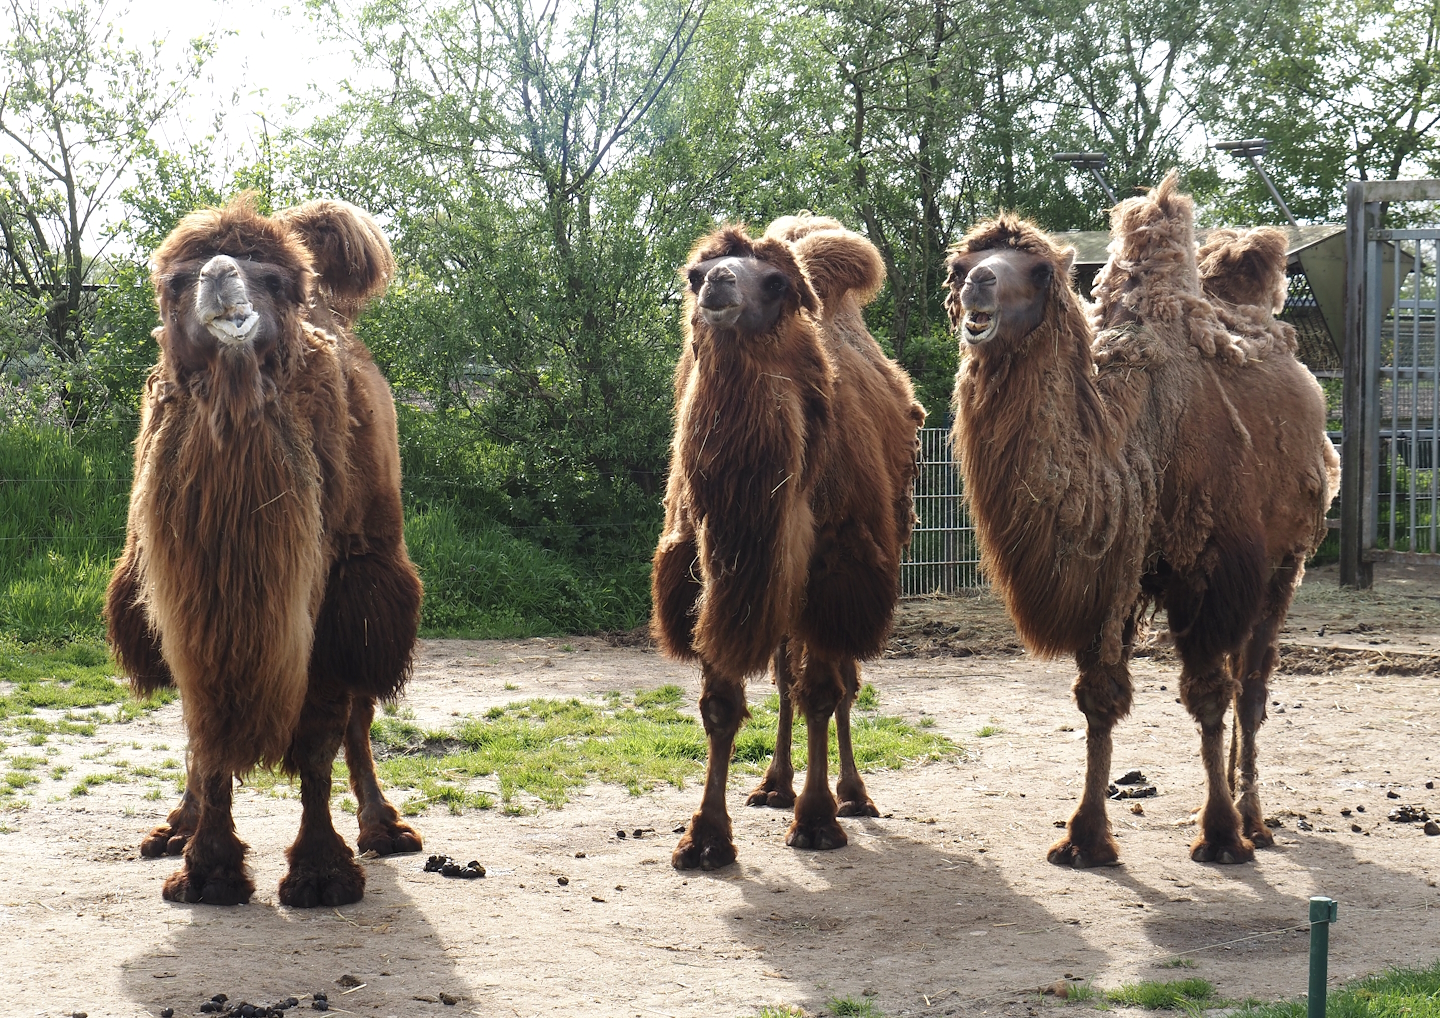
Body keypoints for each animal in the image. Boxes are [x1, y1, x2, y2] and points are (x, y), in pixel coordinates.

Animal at [105, 195, 424, 905]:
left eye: (275, 281)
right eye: (175, 282)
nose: (221, 275)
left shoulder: (336, 595)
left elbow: (319, 737)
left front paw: (322, 873)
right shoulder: (185, 599)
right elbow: (206, 733)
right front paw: (206, 869)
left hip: (370, 586)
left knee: (361, 715)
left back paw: (385, 828)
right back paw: (174, 826)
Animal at [652, 215, 925, 870]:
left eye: (775, 282)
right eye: (695, 273)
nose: (718, 284)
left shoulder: (835, 573)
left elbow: (823, 694)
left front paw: (818, 819)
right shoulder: (712, 575)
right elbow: (721, 705)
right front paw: (705, 837)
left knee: (839, 684)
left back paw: (852, 795)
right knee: (783, 679)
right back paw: (775, 785)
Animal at [946, 174, 1338, 867]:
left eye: (1040, 271)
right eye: (961, 265)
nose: (978, 285)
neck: (1137, 443)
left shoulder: (1208, 574)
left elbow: (1207, 695)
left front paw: (1220, 835)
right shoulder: (1113, 576)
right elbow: (1099, 700)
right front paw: (1086, 837)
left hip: (1284, 561)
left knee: (1252, 686)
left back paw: (1254, 819)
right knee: (1240, 679)